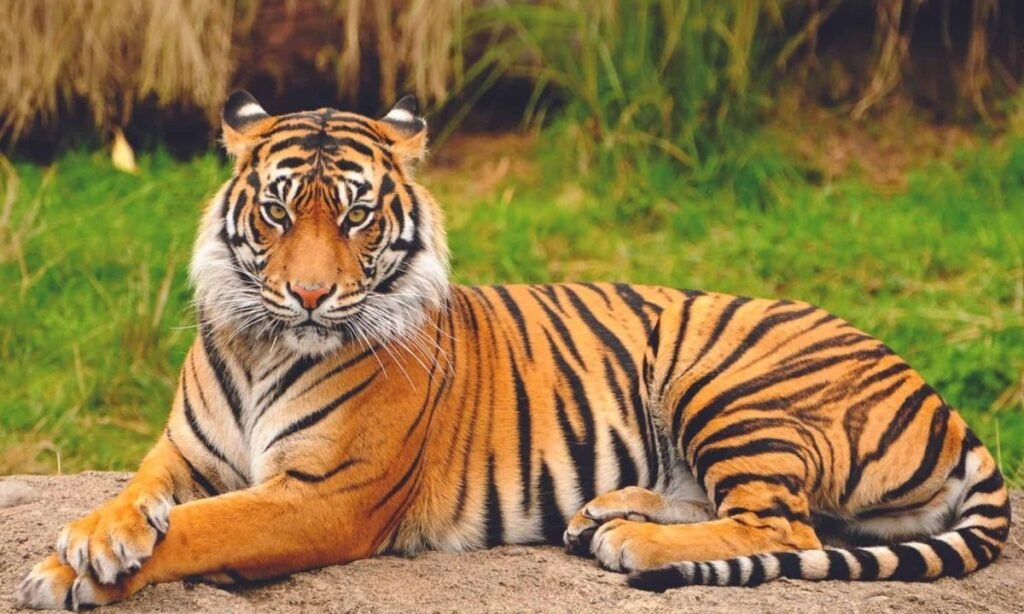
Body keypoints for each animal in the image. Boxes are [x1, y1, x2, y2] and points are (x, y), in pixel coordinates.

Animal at [15, 91, 1010, 610]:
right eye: (276, 211)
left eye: (357, 216)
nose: (309, 295)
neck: (265, 345)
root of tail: (943, 402)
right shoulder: (184, 453)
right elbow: (138, 496)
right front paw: (93, 538)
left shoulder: (324, 496)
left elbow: (204, 526)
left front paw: (69, 571)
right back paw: (606, 513)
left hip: (727, 379)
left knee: (785, 524)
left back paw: (633, 544)